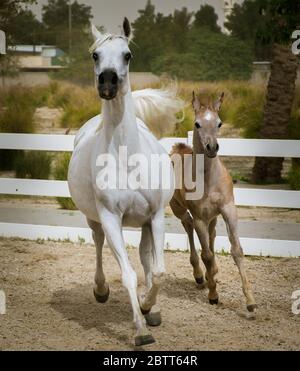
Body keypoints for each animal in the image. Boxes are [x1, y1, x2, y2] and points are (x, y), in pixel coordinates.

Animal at [68, 18, 184, 348]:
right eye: (95, 55)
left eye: (127, 54)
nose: (108, 83)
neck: (126, 156)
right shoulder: (110, 218)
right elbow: (129, 275)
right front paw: (140, 331)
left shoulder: (155, 216)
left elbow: (157, 270)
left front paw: (148, 307)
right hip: (95, 220)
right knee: (98, 244)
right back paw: (101, 290)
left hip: (144, 223)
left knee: (147, 259)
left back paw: (151, 309)